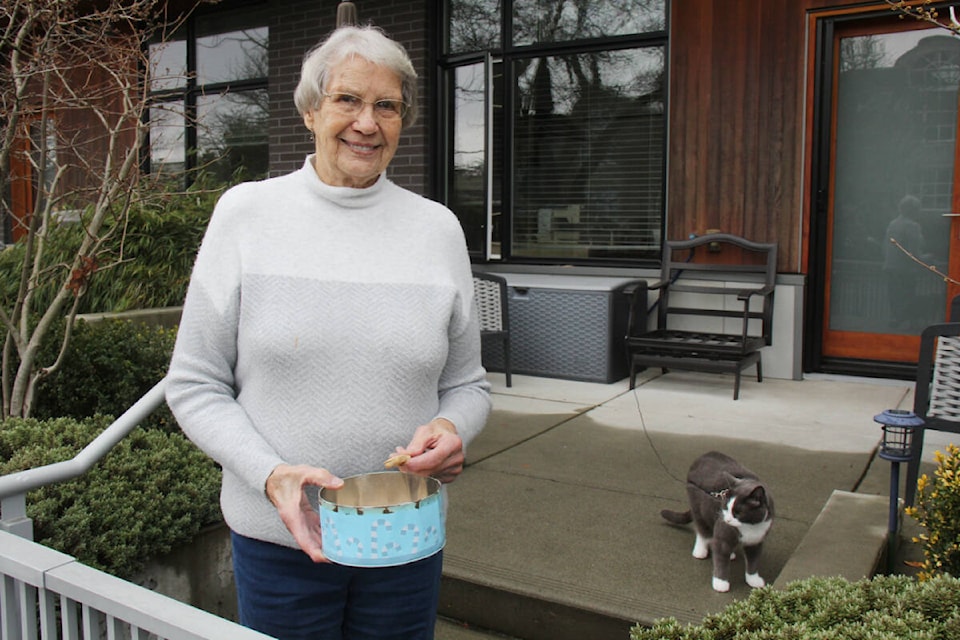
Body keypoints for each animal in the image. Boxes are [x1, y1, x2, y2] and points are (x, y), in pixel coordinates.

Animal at [660, 452, 772, 592]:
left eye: (738, 513)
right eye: (726, 507)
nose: (727, 519)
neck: (749, 527)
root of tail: (704, 455)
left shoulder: (756, 540)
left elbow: (753, 561)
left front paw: (754, 580)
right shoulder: (723, 533)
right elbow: (721, 560)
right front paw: (720, 583)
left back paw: (730, 554)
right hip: (698, 506)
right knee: (703, 530)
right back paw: (700, 551)